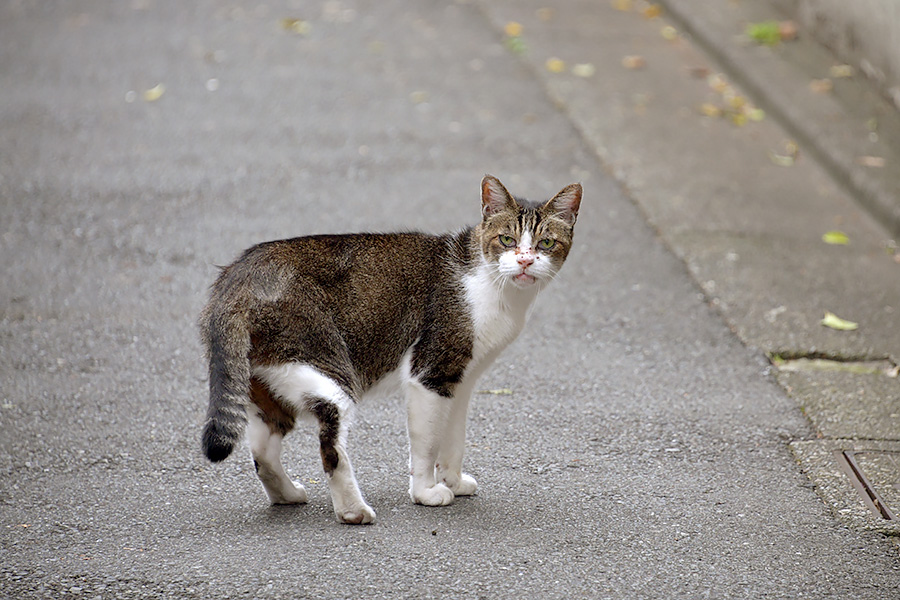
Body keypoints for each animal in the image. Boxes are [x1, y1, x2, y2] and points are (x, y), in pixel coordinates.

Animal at [199, 176, 584, 524]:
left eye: (546, 242)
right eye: (507, 239)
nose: (525, 261)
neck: (497, 290)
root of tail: (237, 276)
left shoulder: (462, 380)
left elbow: (454, 437)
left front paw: (454, 481)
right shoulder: (430, 372)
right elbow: (427, 442)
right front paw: (426, 492)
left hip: (268, 379)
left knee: (262, 449)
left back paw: (287, 494)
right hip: (326, 367)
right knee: (330, 443)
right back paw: (353, 511)